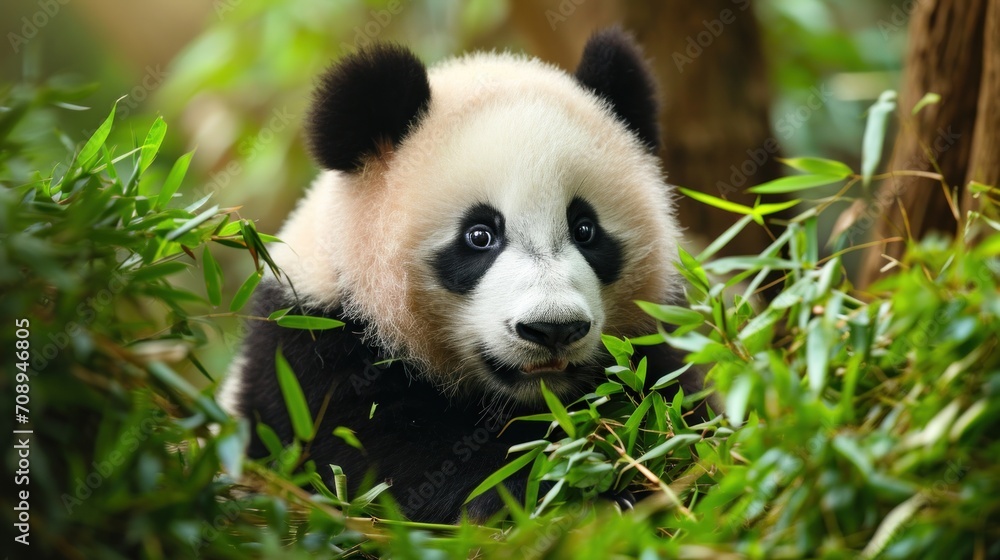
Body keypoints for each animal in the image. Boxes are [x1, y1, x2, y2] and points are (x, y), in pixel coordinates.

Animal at [218, 27, 706, 523]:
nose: (553, 328)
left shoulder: (655, 338)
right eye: (479, 235)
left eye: (585, 229)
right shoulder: (313, 344)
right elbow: (384, 455)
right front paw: (574, 496)